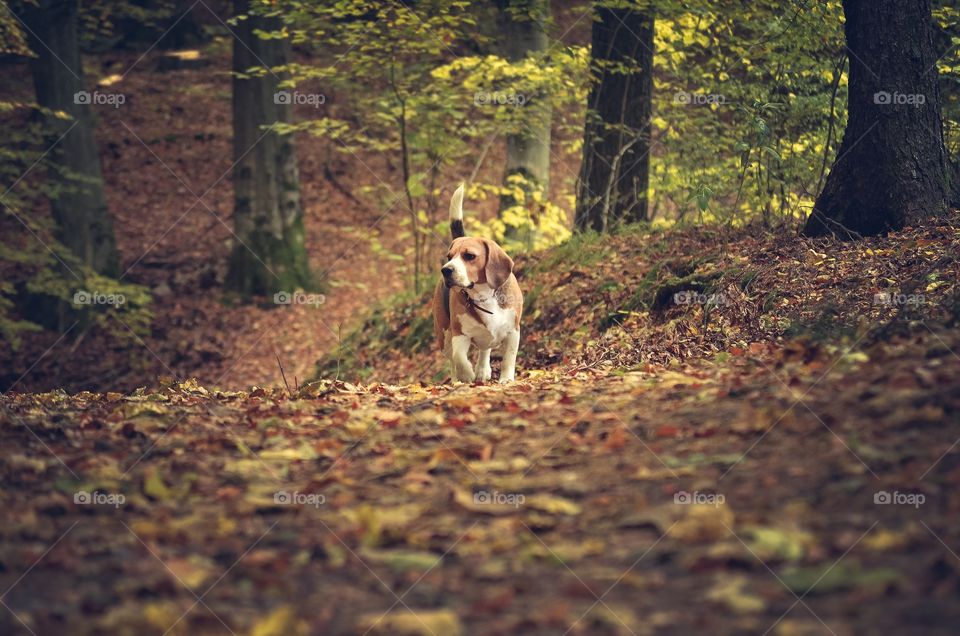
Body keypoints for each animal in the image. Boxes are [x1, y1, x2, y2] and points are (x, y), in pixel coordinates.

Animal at [436, 184, 524, 382]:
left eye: (469, 256)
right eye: (449, 257)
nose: (446, 270)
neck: (484, 295)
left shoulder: (513, 331)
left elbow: (509, 359)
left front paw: (506, 380)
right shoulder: (459, 334)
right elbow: (459, 358)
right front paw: (467, 374)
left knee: (485, 349)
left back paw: (483, 370)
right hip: (444, 334)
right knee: (452, 360)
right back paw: (457, 380)